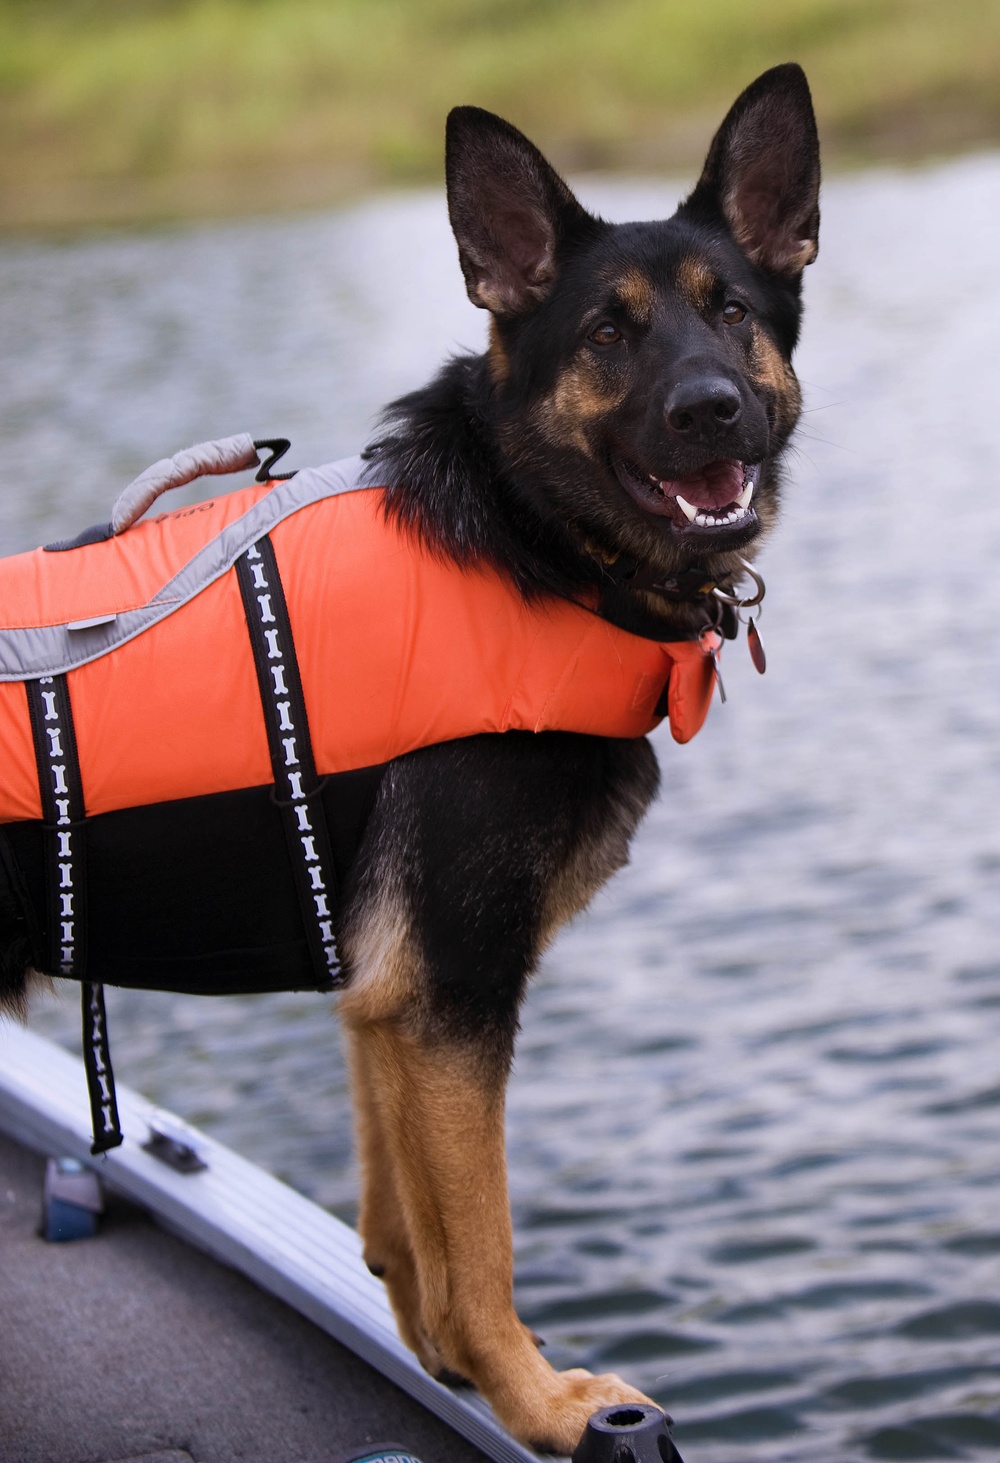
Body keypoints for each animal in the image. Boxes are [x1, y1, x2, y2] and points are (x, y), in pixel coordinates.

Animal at [0, 65, 818, 1451]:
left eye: (731, 313)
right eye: (606, 335)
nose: (711, 407)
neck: (528, 539)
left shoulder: (390, 999)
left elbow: (406, 1222)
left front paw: (446, 1358)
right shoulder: (456, 987)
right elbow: (481, 1239)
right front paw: (543, 1401)